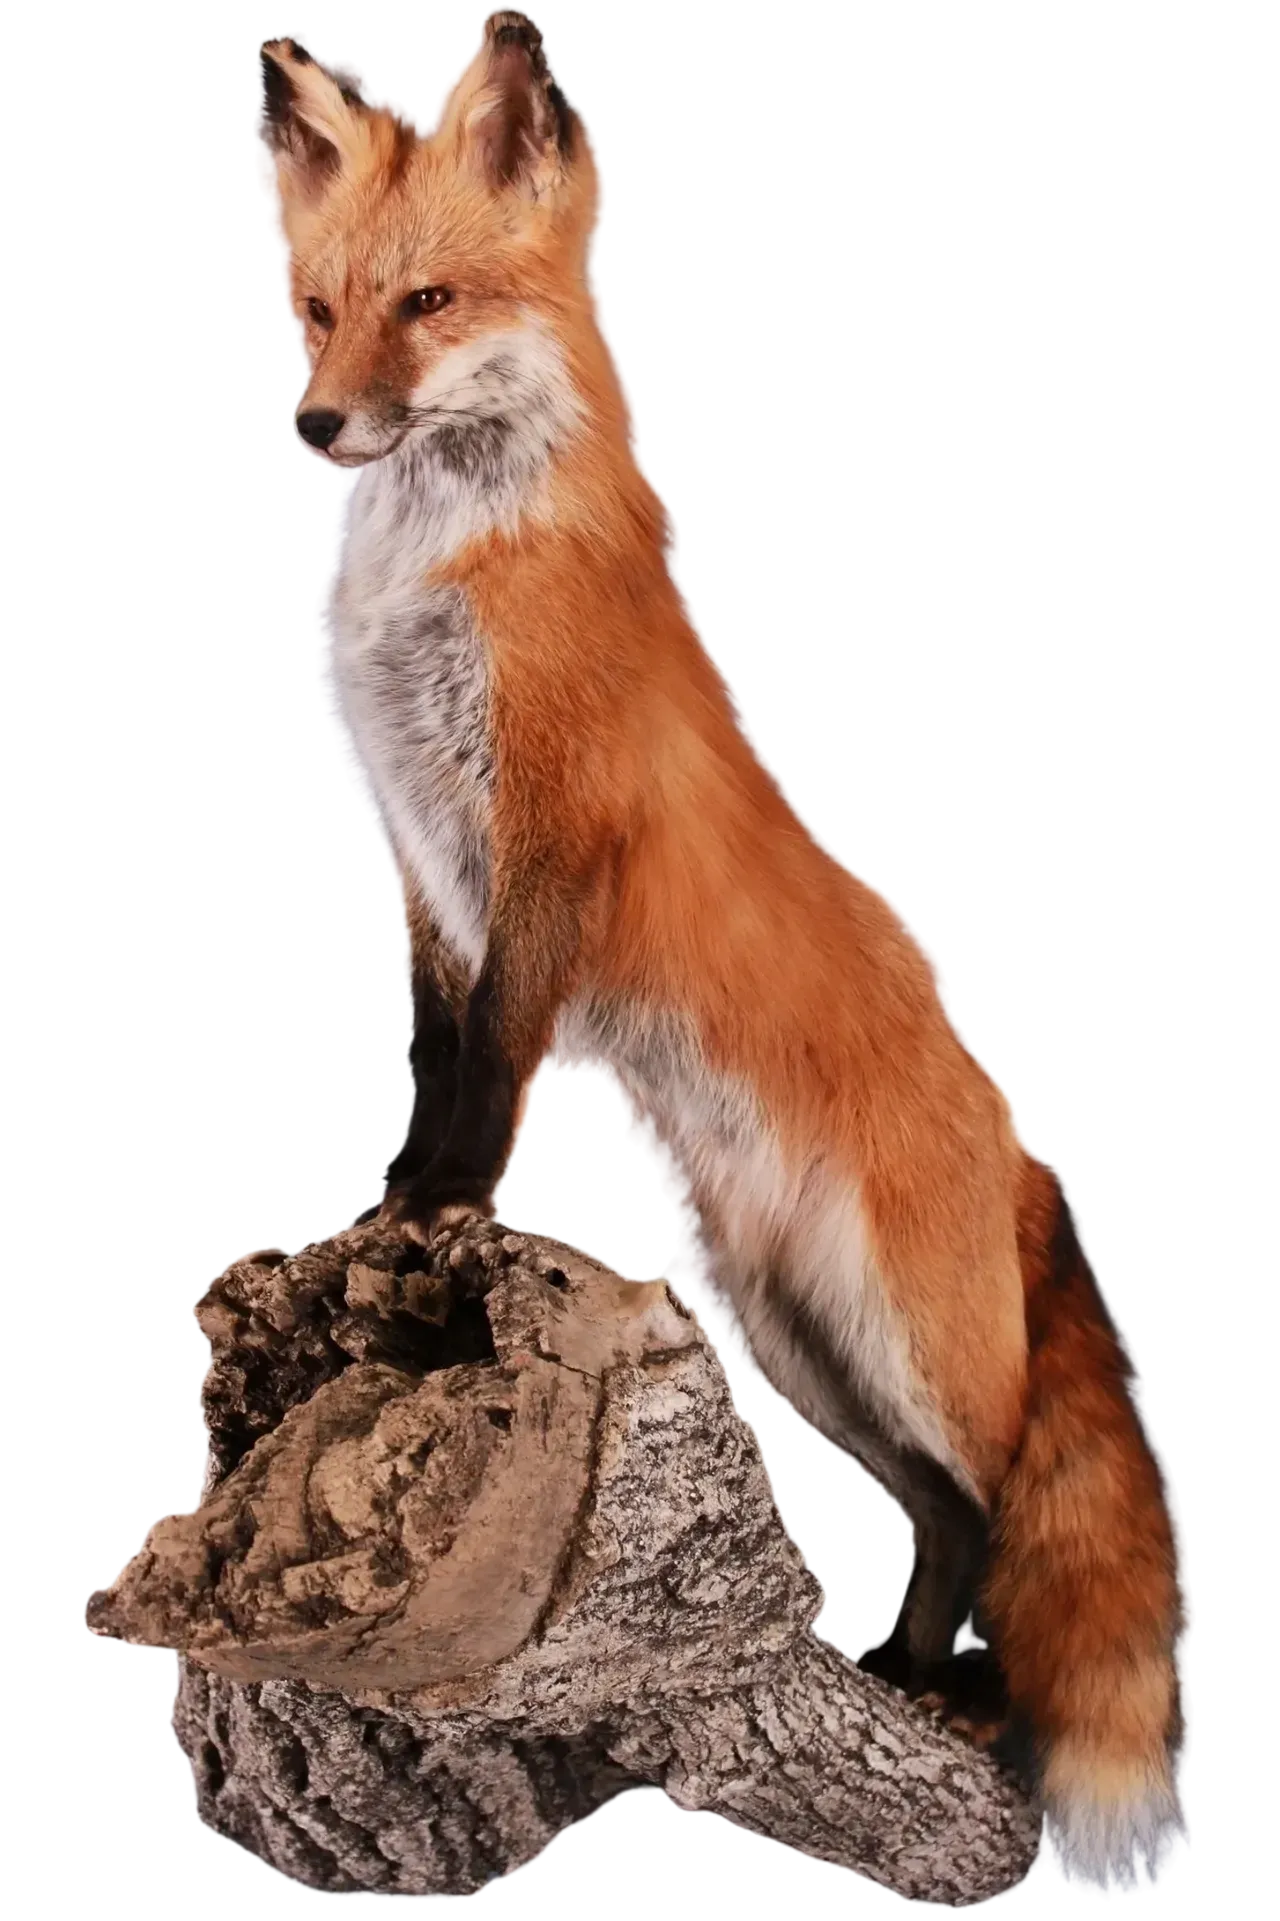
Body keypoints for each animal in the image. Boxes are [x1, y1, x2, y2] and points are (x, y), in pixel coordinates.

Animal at [252, 11, 1193, 1900]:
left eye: (430, 303)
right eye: (318, 307)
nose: (318, 423)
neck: (452, 566)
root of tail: (1022, 1142)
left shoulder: (545, 851)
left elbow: (494, 1064)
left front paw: (443, 1225)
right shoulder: (417, 859)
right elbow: (430, 1055)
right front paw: (387, 1213)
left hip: (896, 1344)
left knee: (1004, 1503)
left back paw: (981, 1713)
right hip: (792, 1332)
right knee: (947, 1521)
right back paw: (930, 1684)